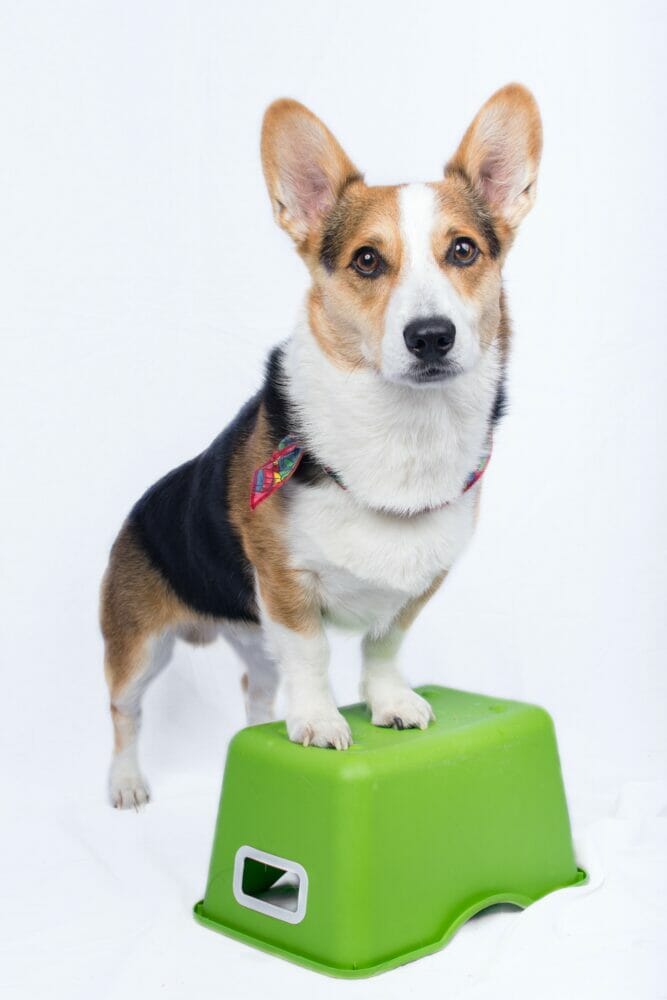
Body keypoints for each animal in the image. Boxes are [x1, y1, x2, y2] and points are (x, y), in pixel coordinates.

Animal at [103, 84, 544, 804]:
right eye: (367, 259)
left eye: (462, 250)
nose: (431, 336)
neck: (403, 429)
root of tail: (136, 512)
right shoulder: (285, 586)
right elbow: (311, 655)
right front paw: (316, 721)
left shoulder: (418, 583)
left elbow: (383, 645)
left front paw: (390, 703)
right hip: (139, 648)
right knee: (125, 713)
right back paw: (126, 783)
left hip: (251, 637)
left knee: (255, 686)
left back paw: (253, 729)